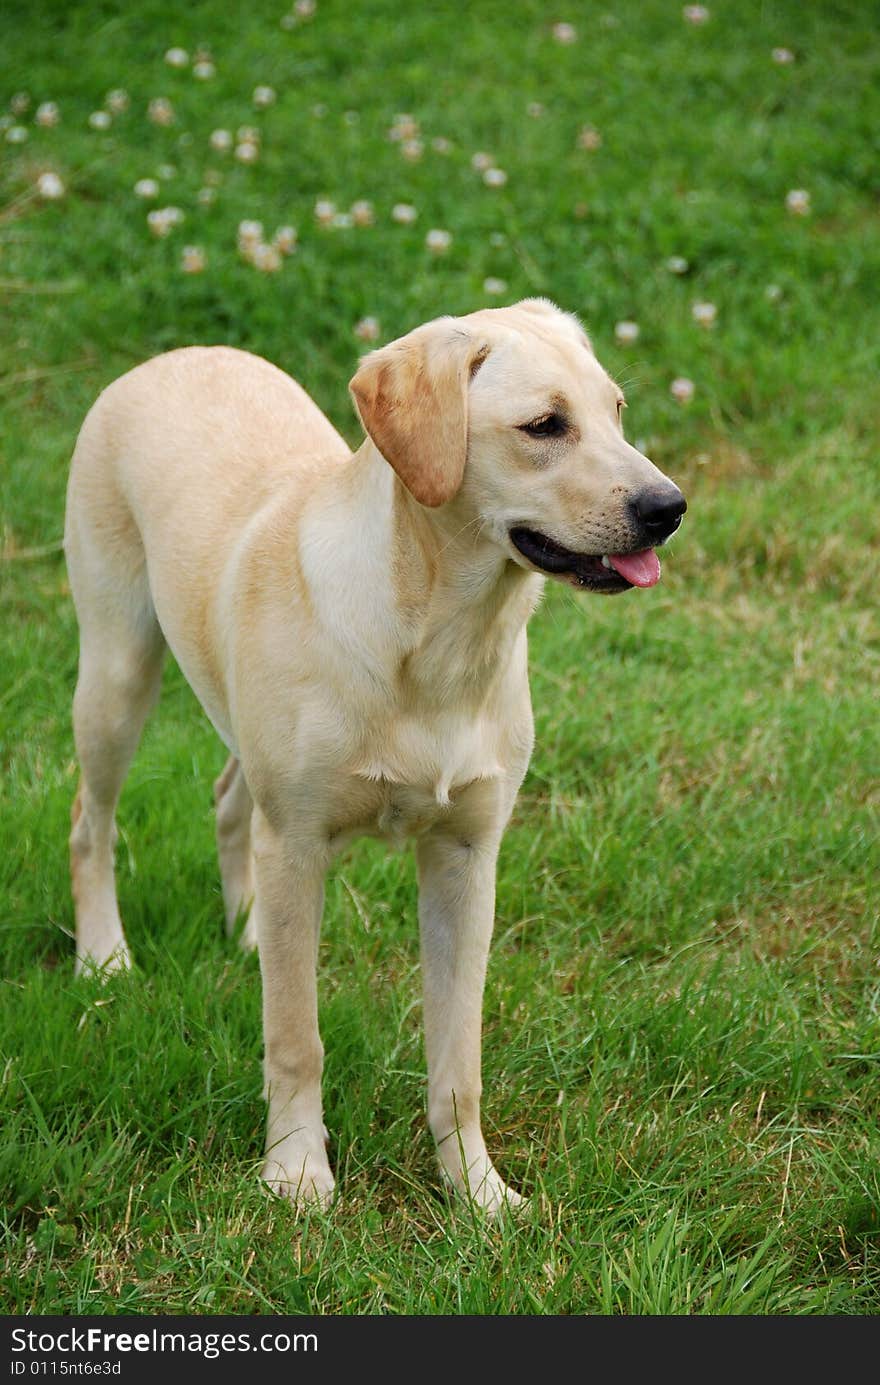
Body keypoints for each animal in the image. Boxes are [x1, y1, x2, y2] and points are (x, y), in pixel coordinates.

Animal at [67, 300, 687, 1213]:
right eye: (545, 426)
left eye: (617, 411)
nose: (669, 506)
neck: (440, 639)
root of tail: (174, 355)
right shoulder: (297, 843)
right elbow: (296, 1037)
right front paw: (296, 1173)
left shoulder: (467, 856)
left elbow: (458, 1059)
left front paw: (478, 1192)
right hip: (117, 673)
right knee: (92, 822)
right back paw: (104, 957)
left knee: (229, 800)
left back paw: (247, 933)